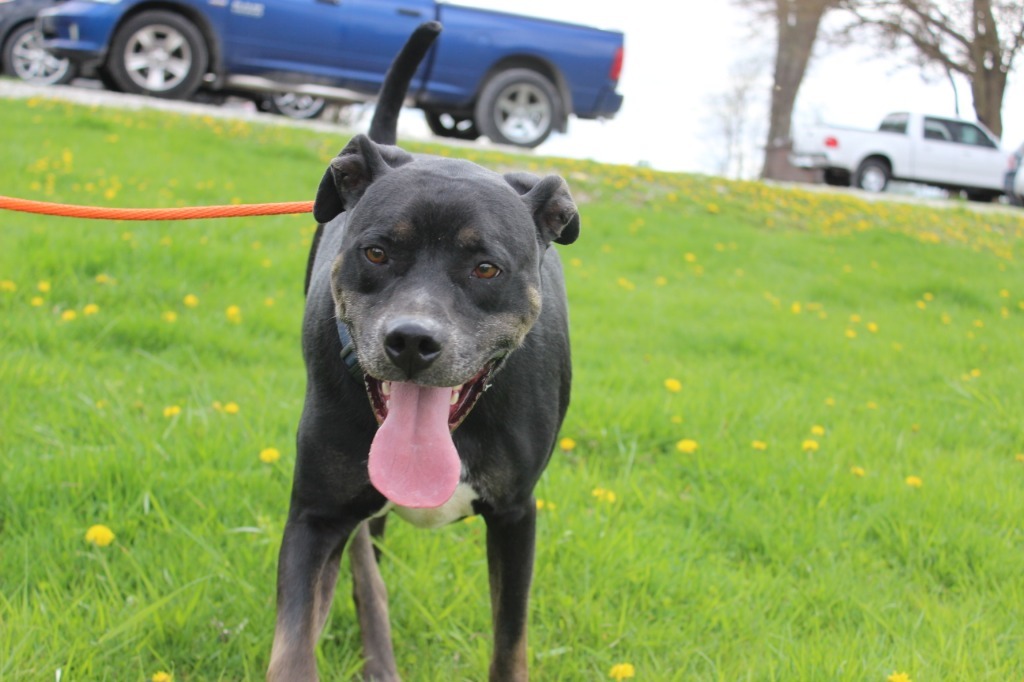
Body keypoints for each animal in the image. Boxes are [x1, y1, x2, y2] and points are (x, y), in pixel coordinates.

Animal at [268, 22, 581, 679]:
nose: (412, 340)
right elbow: (293, 645)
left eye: (486, 268)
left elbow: (510, 643)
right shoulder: (315, 516)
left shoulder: (517, 515)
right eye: (377, 252)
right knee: (368, 567)